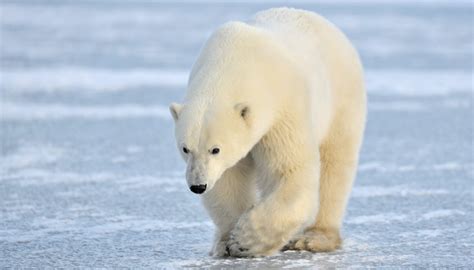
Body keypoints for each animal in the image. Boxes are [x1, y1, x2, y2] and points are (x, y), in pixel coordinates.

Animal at [170, 7, 366, 258]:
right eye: (185, 148)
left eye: (216, 149)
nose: (197, 186)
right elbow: (227, 180)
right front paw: (227, 242)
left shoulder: (283, 108)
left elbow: (290, 170)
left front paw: (246, 239)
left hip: (341, 99)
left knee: (334, 164)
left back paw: (314, 238)